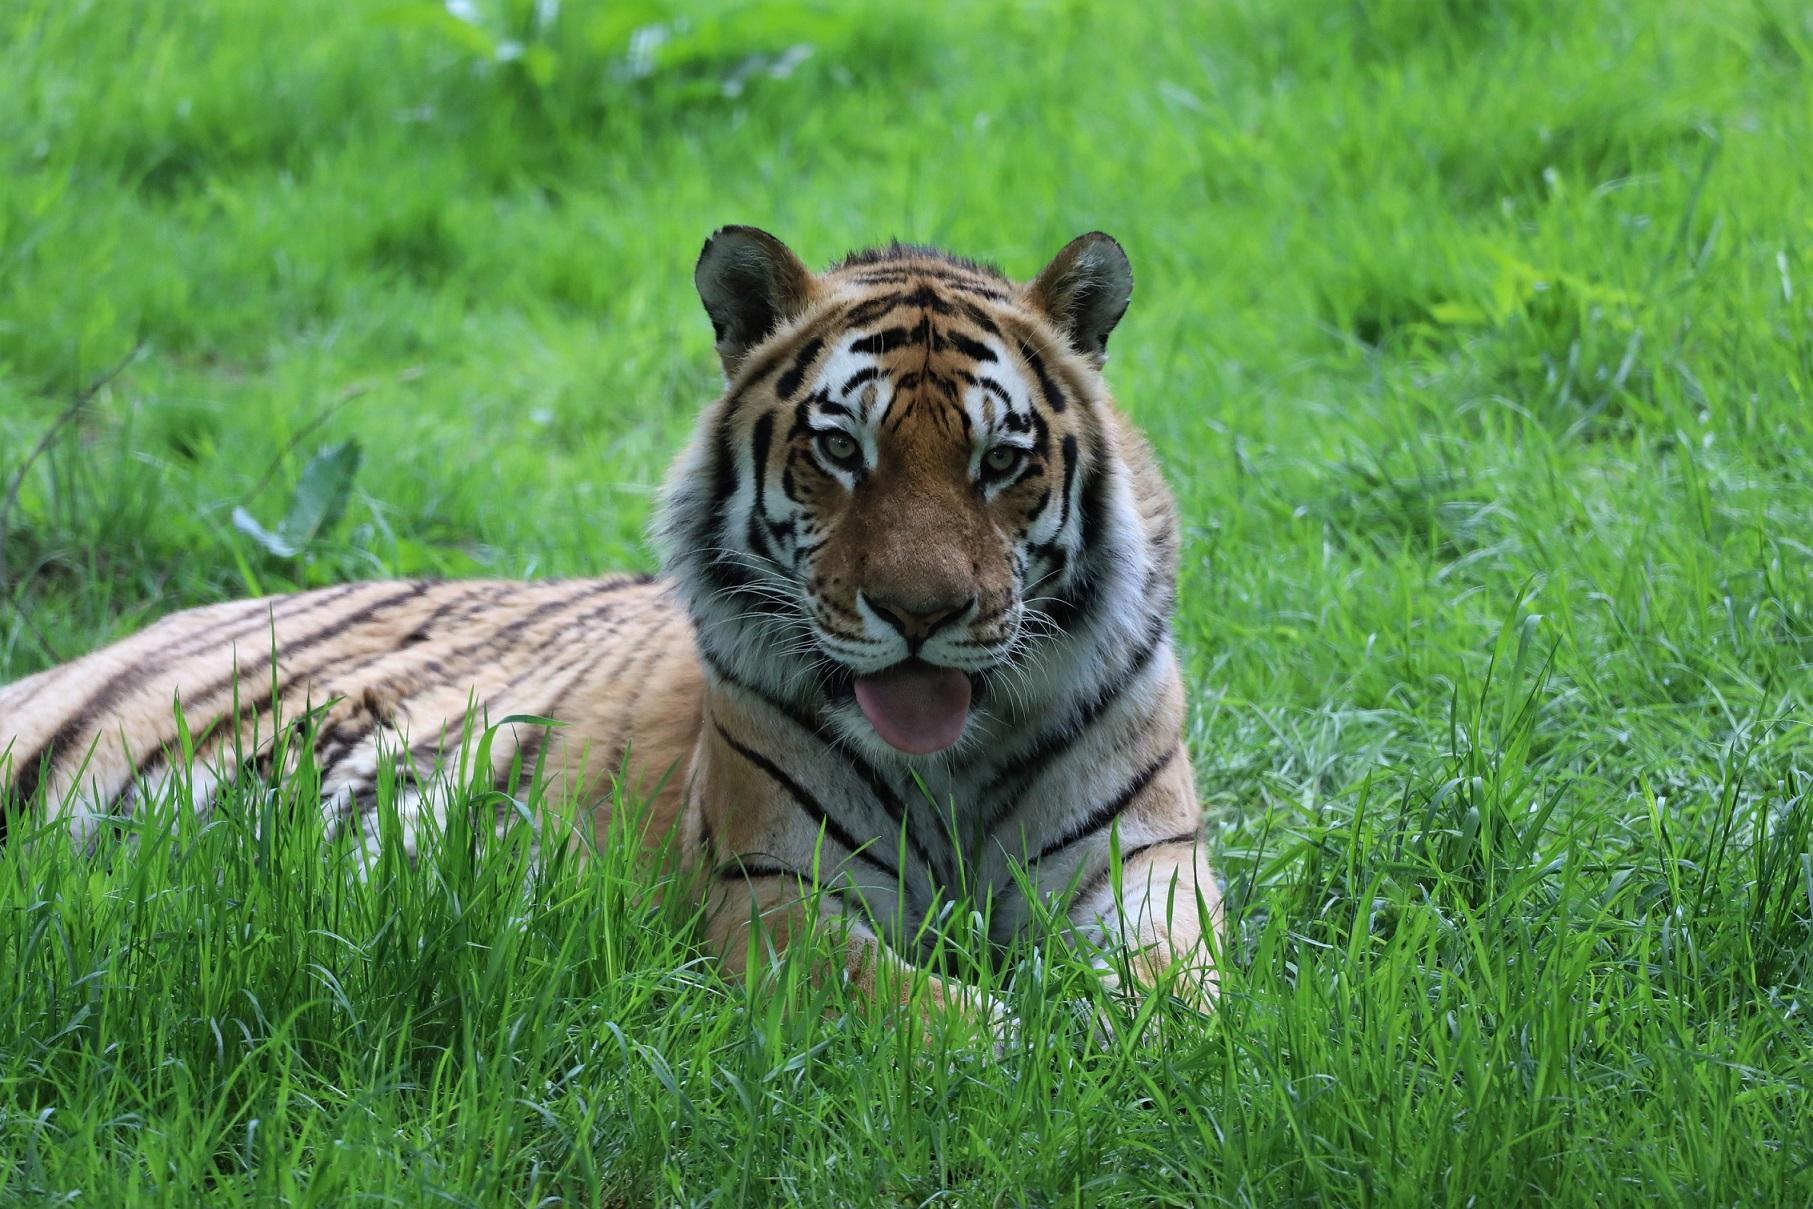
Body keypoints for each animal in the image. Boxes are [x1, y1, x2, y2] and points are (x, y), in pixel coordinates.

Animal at [0, 227, 1222, 1027]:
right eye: (840, 450)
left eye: (1000, 461)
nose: (921, 616)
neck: (952, 758)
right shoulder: (774, 897)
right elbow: (943, 1019)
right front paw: (1035, 1056)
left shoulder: (1144, 865)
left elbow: (1176, 992)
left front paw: (1127, 1049)